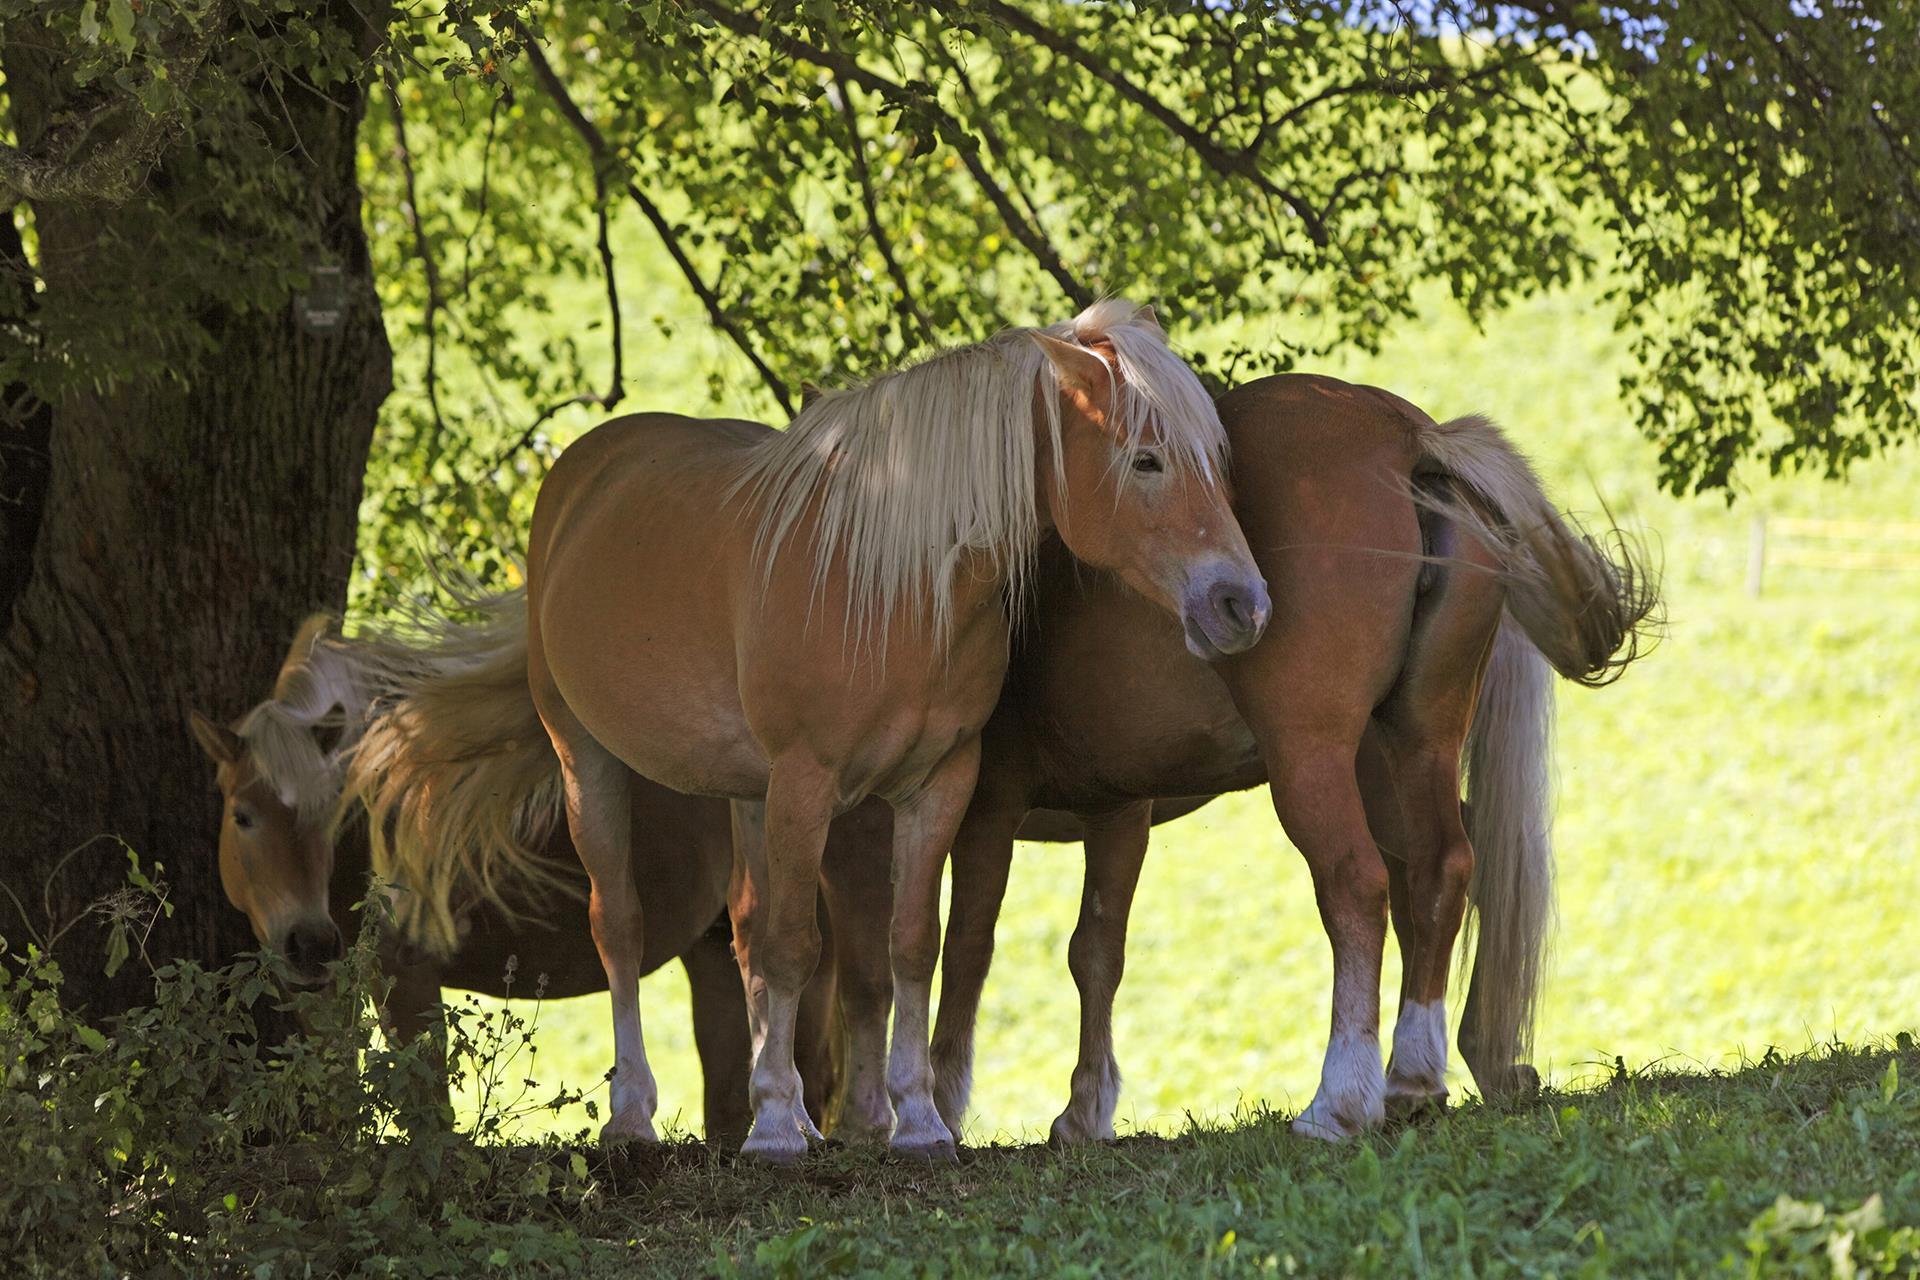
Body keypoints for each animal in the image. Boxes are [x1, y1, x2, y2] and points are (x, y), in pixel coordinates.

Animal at [526, 301, 1267, 1159]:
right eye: (1147, 461)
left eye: (1217, 459)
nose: (1242, 604)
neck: (891, 581)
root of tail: (585, 466)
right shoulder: (810, 783)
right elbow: (797, 946)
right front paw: (774, 1131)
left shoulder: (938, 783)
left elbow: (912, 943)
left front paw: (915, 1119)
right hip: (586, 756)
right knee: (621, 924)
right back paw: (635, 1113)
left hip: (747, 788)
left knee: (743, 927)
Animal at [921, 376, 1658, 1143]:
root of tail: (1405, 431)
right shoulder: (1116, 803)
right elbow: (1094, 950)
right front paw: (1083, 1111)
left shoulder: (986, 805)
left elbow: (953, 946)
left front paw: (934, 1102)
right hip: (1416, 740)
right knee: (1444, 868)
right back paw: (1421, 1074)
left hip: (1313, 758)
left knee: (1359, 884)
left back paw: (1342, 1101)